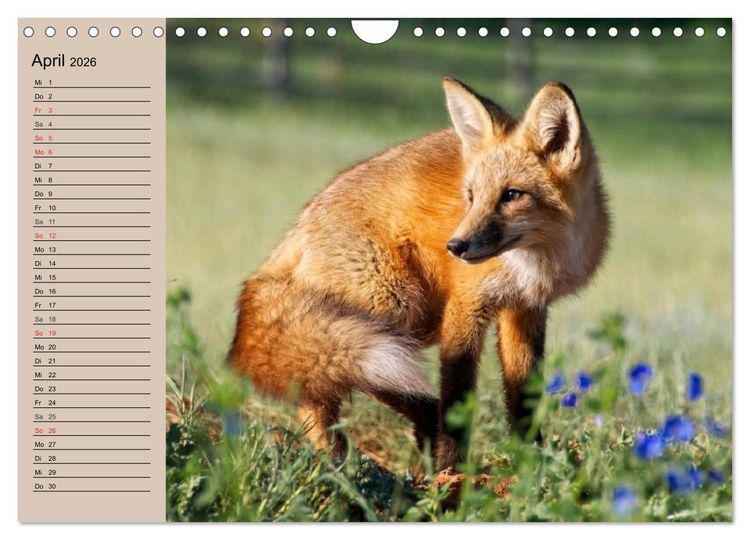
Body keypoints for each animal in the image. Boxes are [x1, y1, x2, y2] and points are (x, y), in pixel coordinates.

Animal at [229, 78, 610, 470]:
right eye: (471, 196)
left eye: (512, 195)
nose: (455, 247)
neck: (534, 262)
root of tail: (296, 231)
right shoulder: (465, 307)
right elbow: (458, 396)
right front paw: (451, 473)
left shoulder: (525, 309)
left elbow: (524, 399)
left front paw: (533, 463)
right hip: (395, 310)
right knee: (333, 381)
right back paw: (357, 459)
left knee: (318, 387)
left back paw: (344, 461)